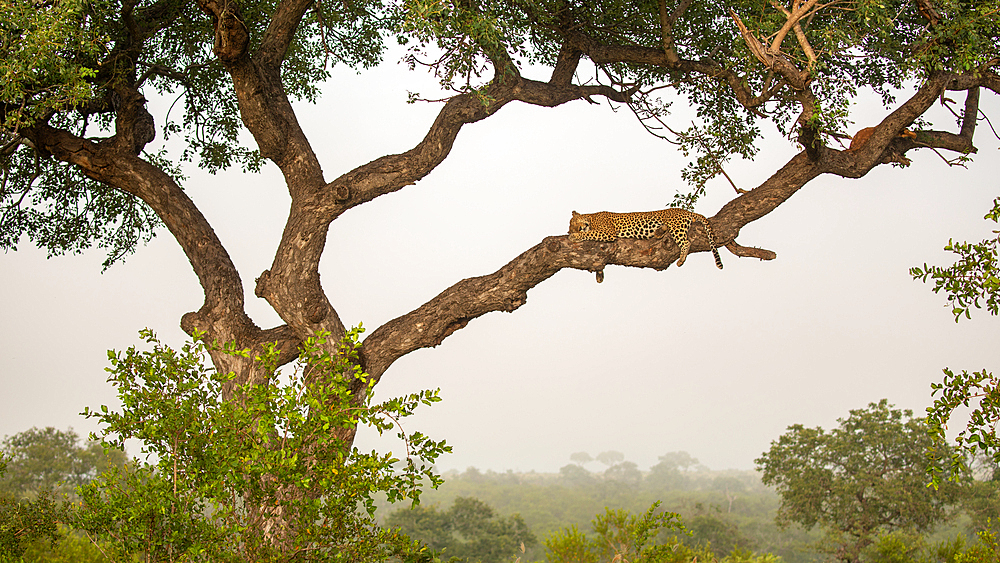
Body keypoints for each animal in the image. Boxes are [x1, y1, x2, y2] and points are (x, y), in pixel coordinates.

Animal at [568, 208, 724, 270]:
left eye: (573, 223)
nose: (575, 229)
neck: (591, 218)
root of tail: (686, 211)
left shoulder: (608, 231)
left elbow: (590, 233)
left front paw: (574, 237)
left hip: (677, 227)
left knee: (687, 242)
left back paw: (681, 260)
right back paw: (659, 231)